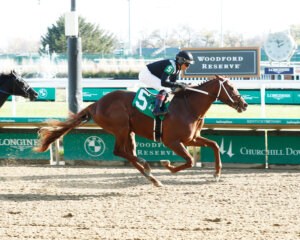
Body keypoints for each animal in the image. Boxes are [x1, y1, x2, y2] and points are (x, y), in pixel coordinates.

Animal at [34, 74, 247, 186]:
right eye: (231, 88)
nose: (244, 104)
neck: (189, 106)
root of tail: (96, 104)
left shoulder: (191, 138)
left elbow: (215, 145)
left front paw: (217, 173)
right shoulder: (173, 141)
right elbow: (189, 161)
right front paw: (167, 165)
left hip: (129, 131)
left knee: (128, 153)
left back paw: (151, 177)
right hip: (120, 127)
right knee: (119, 151)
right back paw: (147, 166)